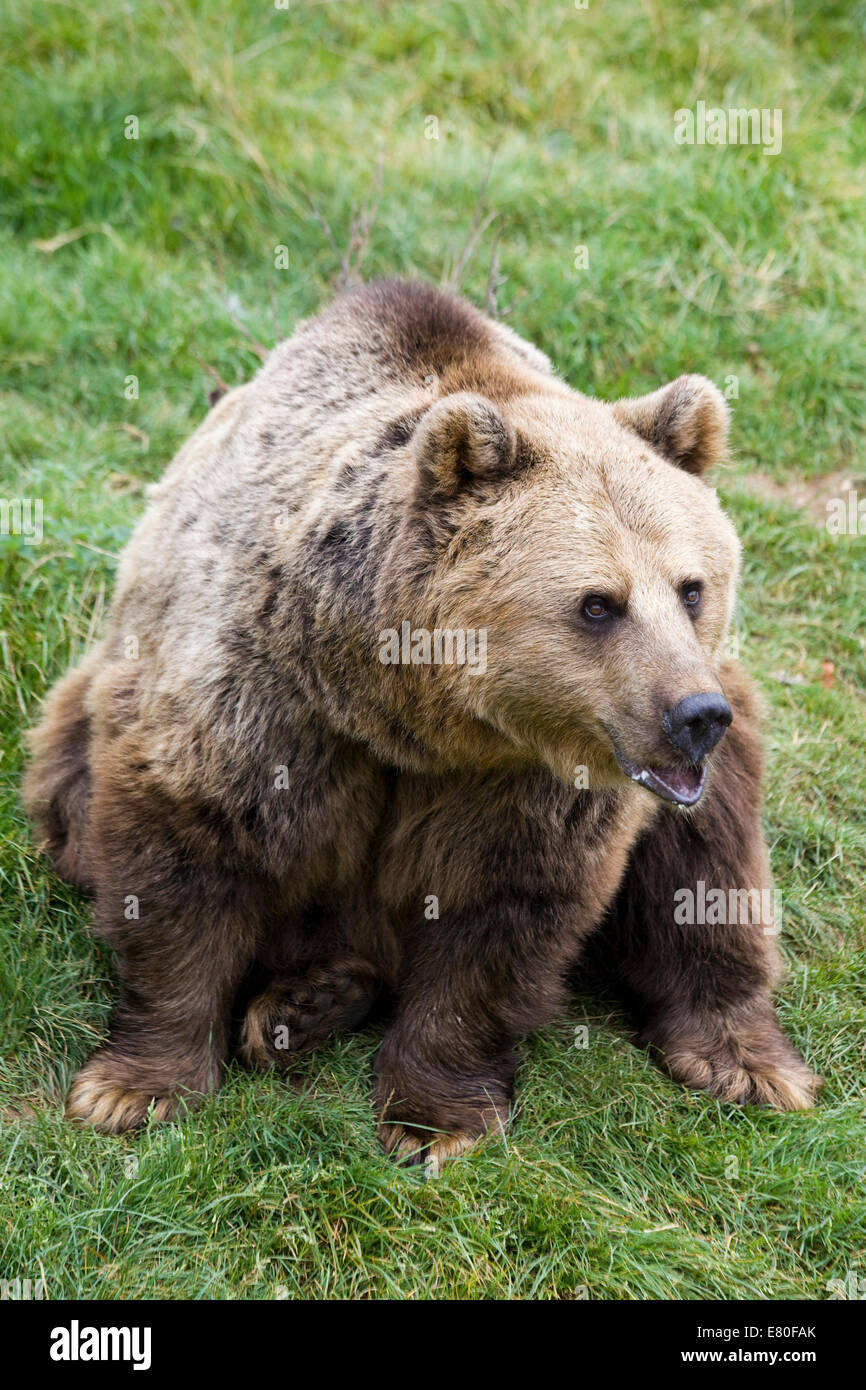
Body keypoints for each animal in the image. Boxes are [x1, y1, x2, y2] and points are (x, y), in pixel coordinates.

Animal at [25, 279, 817, 1162]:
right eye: (597, 602)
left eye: (691, 587)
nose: (694, 714)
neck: (411, 709)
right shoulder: (263, 697)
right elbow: (187, 854)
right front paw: (135, 1088)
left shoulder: (525, 779)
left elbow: (501, 911)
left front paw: (434, 1118)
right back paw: (308, 1002)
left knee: (710, 858)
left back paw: (740, 1058)